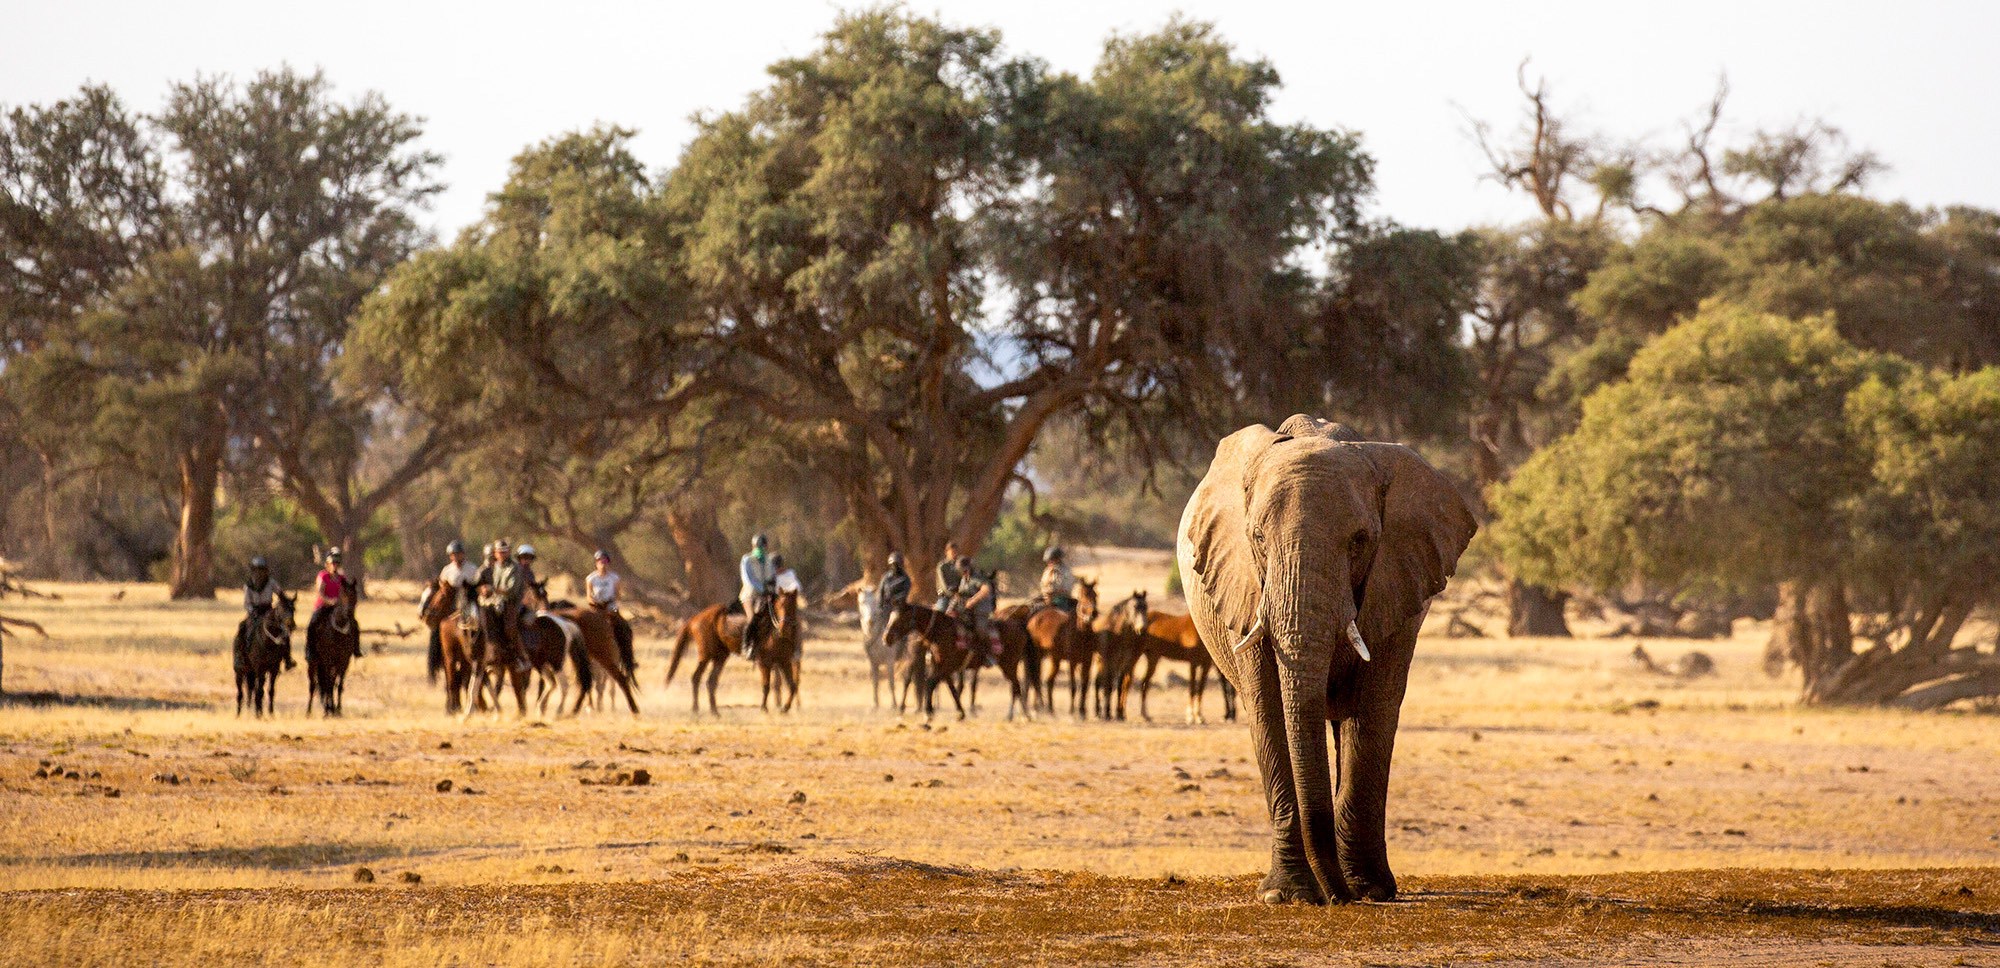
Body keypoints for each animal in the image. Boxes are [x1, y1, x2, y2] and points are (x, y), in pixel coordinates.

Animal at [1176, 414, 1476, 904]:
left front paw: (1370, 890)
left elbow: (1372, 713)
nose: (1337, 898)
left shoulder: (1397, 584)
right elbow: (1269, 712)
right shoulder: (1245, 590)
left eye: (1360, 541)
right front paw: (1287, 896)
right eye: (1257, 538)